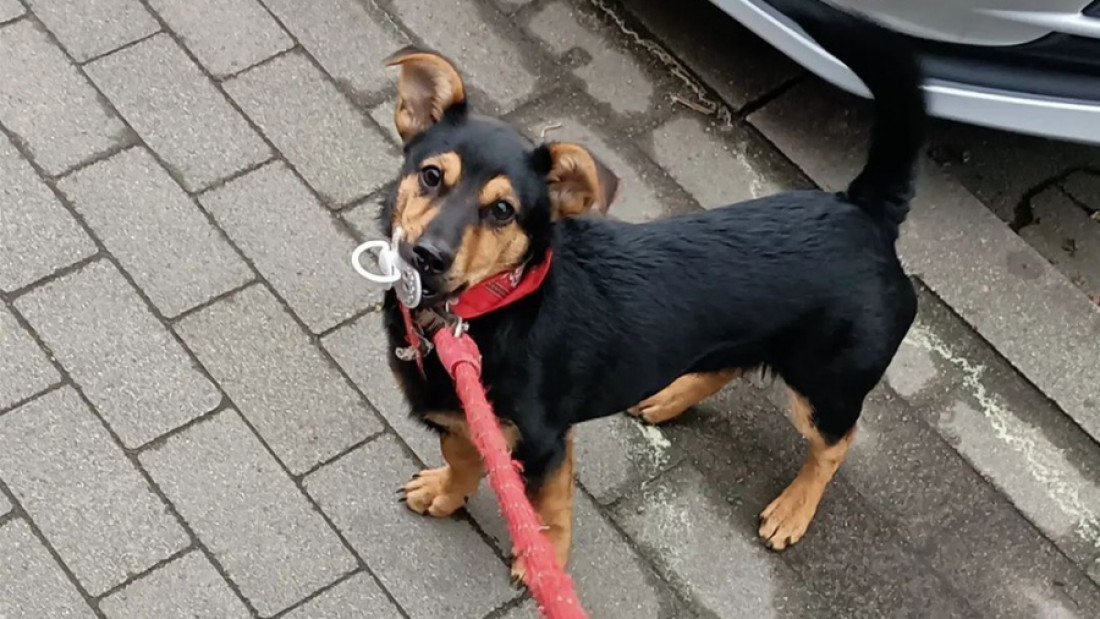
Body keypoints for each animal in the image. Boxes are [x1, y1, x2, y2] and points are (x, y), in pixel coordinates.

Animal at [382, 4, 924, 580]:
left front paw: (545, 564)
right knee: (732, 363)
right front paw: (446, 493)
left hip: (826, 384)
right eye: (431, 176)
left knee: (835, 444)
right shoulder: (462, 418)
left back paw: (793, 510)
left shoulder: (546, 441)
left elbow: (547, 509)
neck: (491, 307)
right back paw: (668, 397)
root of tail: (865, 209)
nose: (427, 255)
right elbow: (462, 456)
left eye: (503, 211)